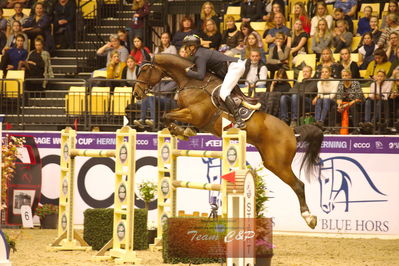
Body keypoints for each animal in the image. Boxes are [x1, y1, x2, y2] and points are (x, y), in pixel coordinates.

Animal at [133, 53, 324, 229]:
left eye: (145, 70)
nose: (136, 93)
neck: (190, 81)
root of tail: (291, 131)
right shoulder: (186, 111)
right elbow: (170, 115)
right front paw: (182, 131)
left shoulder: (194, 114)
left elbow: (166, 115)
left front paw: (178, 130)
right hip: (272, 161)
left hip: (278, 164)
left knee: (298, 185)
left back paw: (309, 218)